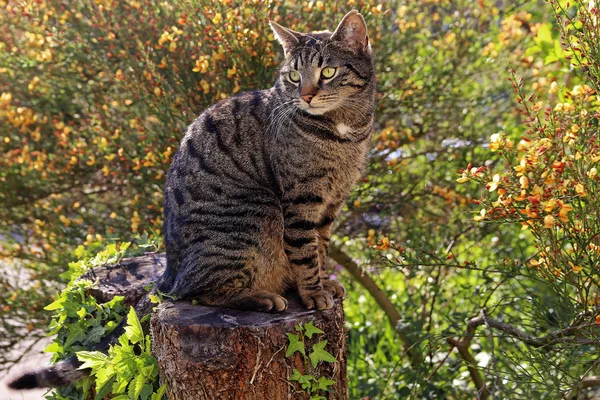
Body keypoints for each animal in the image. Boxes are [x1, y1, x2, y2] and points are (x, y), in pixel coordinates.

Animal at [159, 10, 376, 312]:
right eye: (294, 76)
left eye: (328, 72)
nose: (306, 96)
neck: (345, 130)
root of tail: (170, 270)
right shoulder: (301, 197)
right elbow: (305, 251)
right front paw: (313, 292)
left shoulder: (332, 202)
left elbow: (321, 246)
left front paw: (325, 283)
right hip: (256, 213)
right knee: (197, 291)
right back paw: (262, 297)